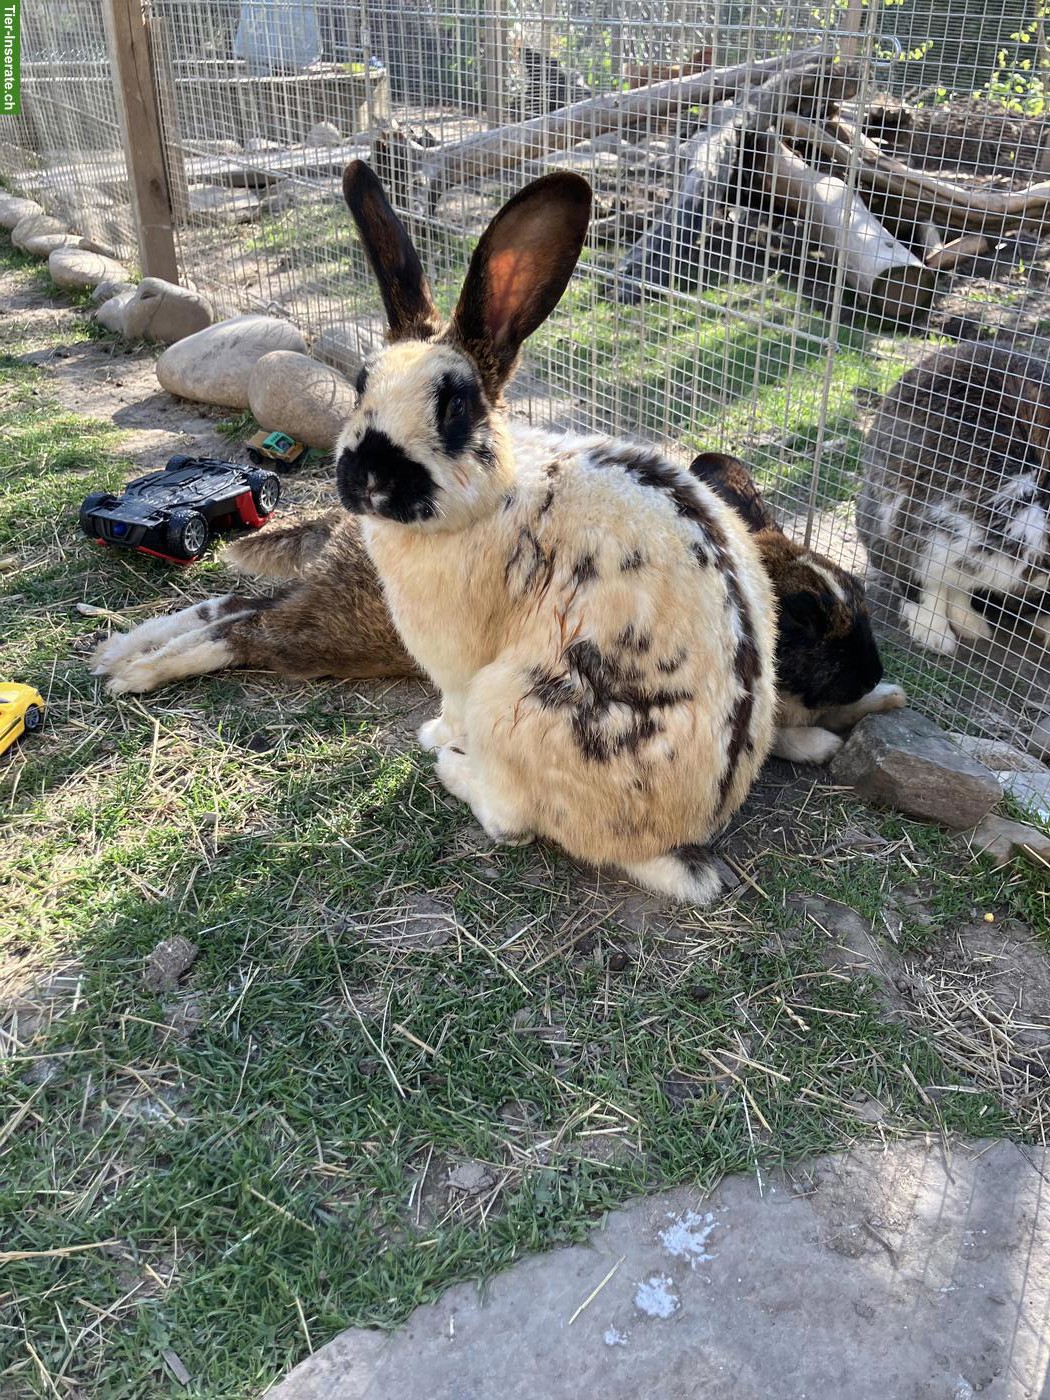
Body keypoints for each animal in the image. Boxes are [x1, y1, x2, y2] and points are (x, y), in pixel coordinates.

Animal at [689, 452, 906, 763]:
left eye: (857, 586)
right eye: (802, 617)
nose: (872, 678)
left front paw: (891, 696)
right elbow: (769, 737)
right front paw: (826, 745)